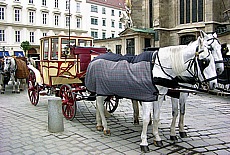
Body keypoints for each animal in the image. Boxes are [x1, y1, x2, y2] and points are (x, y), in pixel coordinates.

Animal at [86, 36, 217, 153]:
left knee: (99, 105)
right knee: (100, 106)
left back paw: (99, 124)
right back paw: (105, 127)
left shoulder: (159, 97)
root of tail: (94, 59)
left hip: (103, 91)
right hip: (102, 90)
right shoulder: (147, 97)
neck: (156, 69)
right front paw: (144, 142)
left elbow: (157, 117)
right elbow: (146, 119)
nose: (214, 83)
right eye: (204, 61)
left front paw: (157, 138)